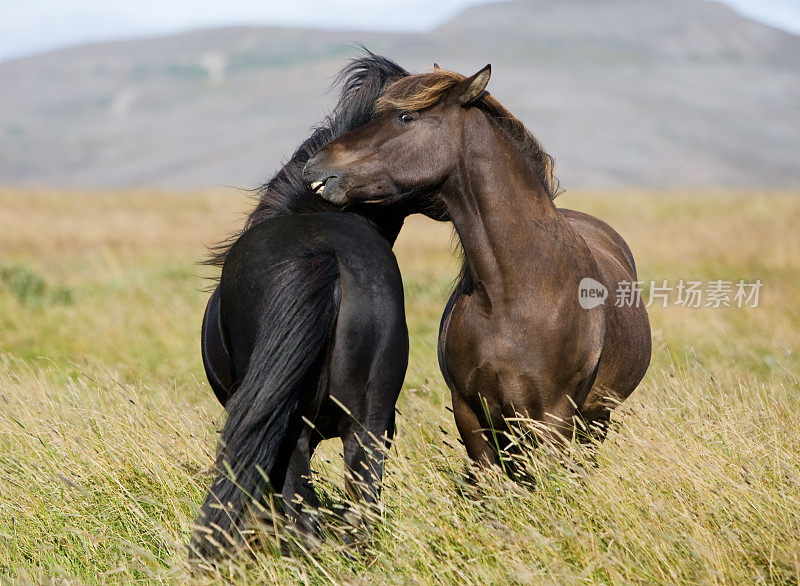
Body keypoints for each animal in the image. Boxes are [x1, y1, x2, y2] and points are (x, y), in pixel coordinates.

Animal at [304, 64, 652, 466]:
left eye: (406, 117)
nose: (314, 164)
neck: (514, 294)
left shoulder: (553, 420)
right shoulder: (472, 415)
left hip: (595, 419)